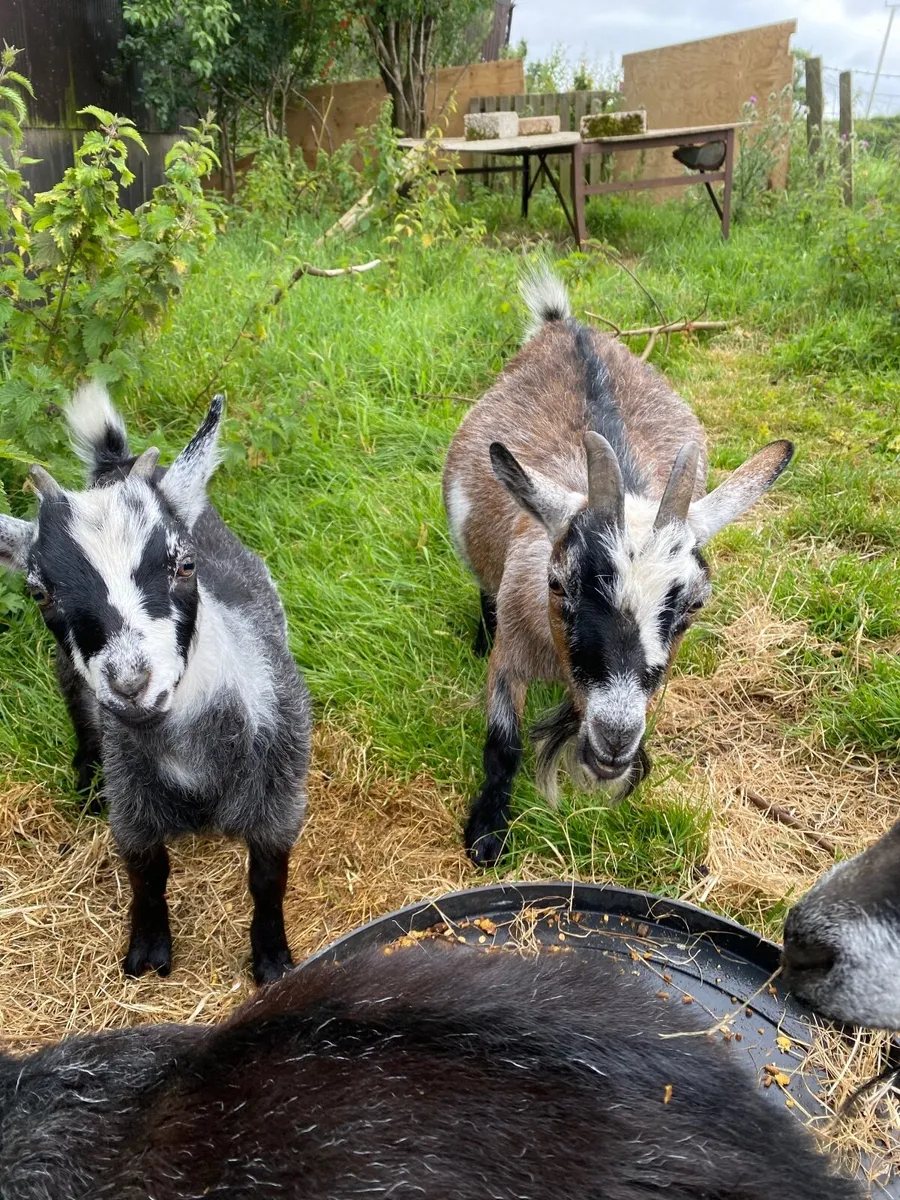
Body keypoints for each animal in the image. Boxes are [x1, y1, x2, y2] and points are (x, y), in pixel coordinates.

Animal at [0, 385, 311, 984]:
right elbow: (147, 873)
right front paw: (146, 951)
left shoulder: (280, 796)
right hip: (71, 681)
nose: (130, 682)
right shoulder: (132, 802)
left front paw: (272, 960)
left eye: (185, 565)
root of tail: (113, 466)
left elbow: (267, 880)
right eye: (39, 593)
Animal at [443, 269, 793, 864]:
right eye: (558, 584)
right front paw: (487, 833)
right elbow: (503, 742)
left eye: (695, 604)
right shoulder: (511, 656)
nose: (614, 739)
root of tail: (567, 328)